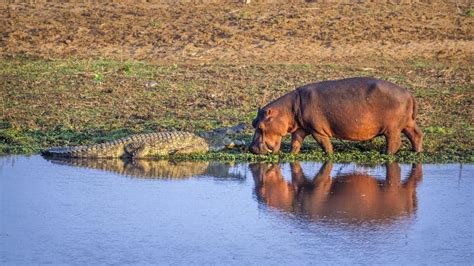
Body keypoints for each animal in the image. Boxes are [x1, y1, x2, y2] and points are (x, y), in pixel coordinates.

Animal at [250, 77, 424, 155]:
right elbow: (295, 142)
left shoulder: (317, 130)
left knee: (395, 142)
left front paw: (330, 155)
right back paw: (417, 152)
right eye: (253, 122)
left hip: (392, 128)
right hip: (407, 123)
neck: (288, 109)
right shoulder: (301, 128)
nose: (252, 148)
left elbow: (324, 144)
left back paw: (386, 154)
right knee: (416, 134)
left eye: (261, 126)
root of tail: (408, 93)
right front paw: (291, 155)